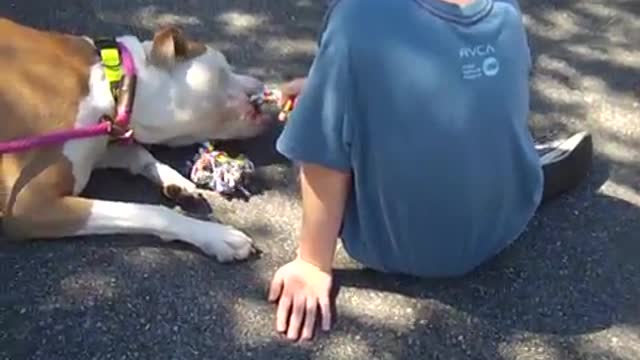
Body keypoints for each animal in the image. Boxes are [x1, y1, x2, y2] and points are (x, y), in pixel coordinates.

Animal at [0, 16, 272, 262]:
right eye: (225, 69)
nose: (261, 82)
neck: (115, 84)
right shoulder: (29, 203)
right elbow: (149, 212)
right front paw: (217, 236)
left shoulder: (100, 140)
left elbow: (137, 153)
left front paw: (176, 181)